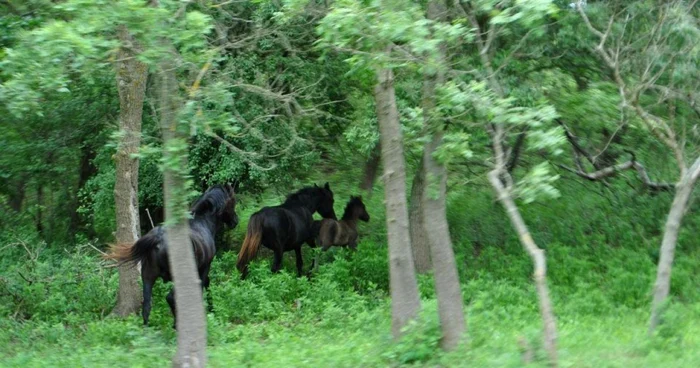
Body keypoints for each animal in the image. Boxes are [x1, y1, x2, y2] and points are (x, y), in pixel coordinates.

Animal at [105, 184, 239, 324]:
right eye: (233, 202)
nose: (236, 221)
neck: (202, 222)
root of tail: (158, 238)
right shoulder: (205, 266)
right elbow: (203, 285)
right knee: (170, 297)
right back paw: (177, 323)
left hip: (148, 277)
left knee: (147, 307)